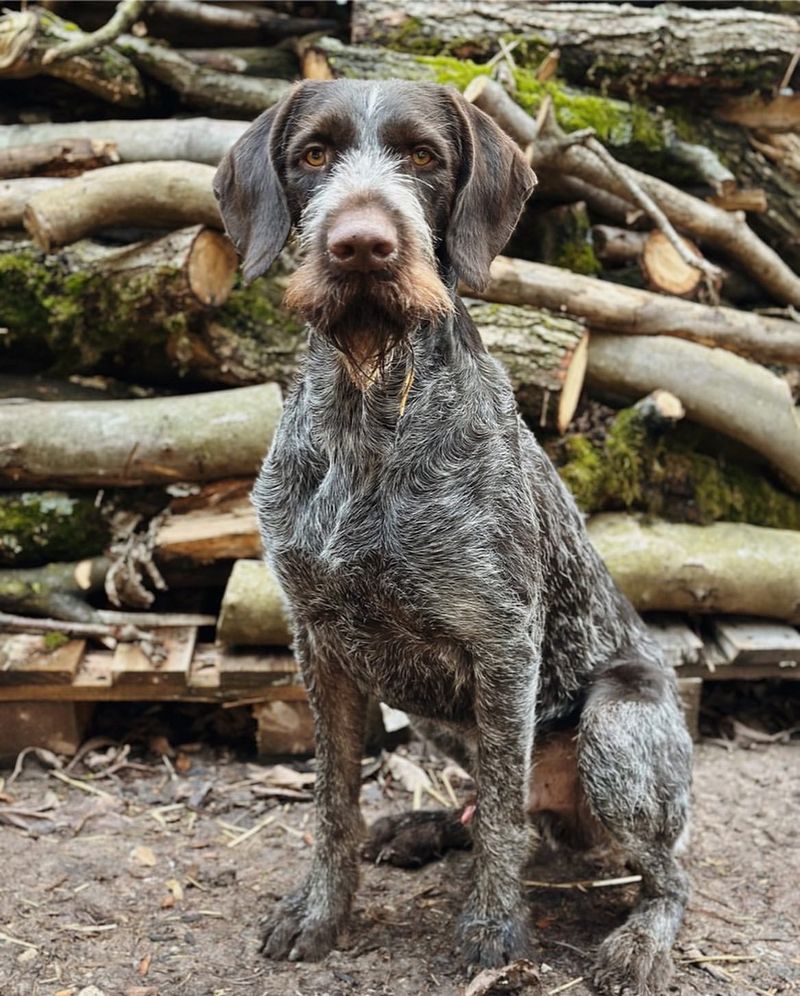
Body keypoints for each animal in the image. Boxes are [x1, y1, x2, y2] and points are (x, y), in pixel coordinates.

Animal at [214, 80, 692, 996]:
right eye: (314, 154)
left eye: (424, 157)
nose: (362, 246)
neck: (370, 410)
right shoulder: (320, 645)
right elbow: (333, 801)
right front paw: (321, 912)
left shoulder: (504, 644)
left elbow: (503, 811)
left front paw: (492, 928)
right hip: (429, 710)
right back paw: (426, 825)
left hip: (617, 730)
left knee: (656, 866)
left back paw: (641, 941)